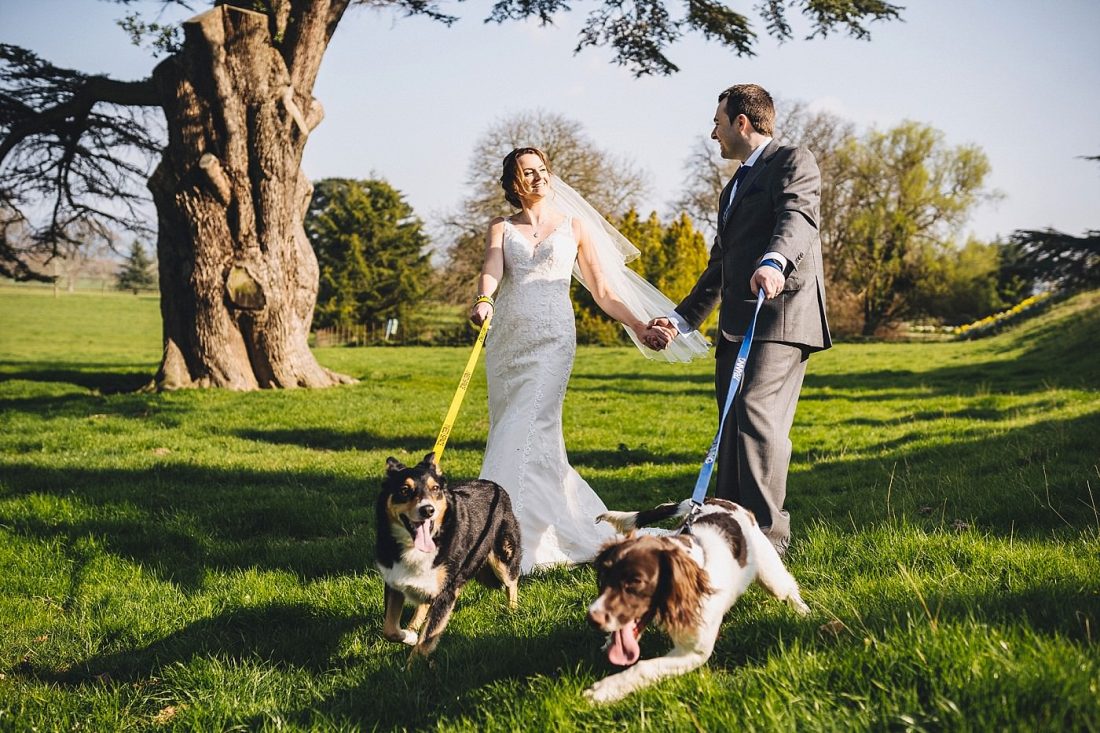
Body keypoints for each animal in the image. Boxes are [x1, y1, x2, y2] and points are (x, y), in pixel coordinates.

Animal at [376, 451, 521, 660]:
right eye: (404, 490)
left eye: (435, 488)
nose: (428, 510)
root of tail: (495, 486)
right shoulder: (393, 580)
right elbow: (389, 629)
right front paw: (409, 636)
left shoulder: (447, 591)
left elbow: (424, 642)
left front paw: (412, 666)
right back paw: (412, 627)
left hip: (503, 556)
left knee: (511, 582)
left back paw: (512, 611)